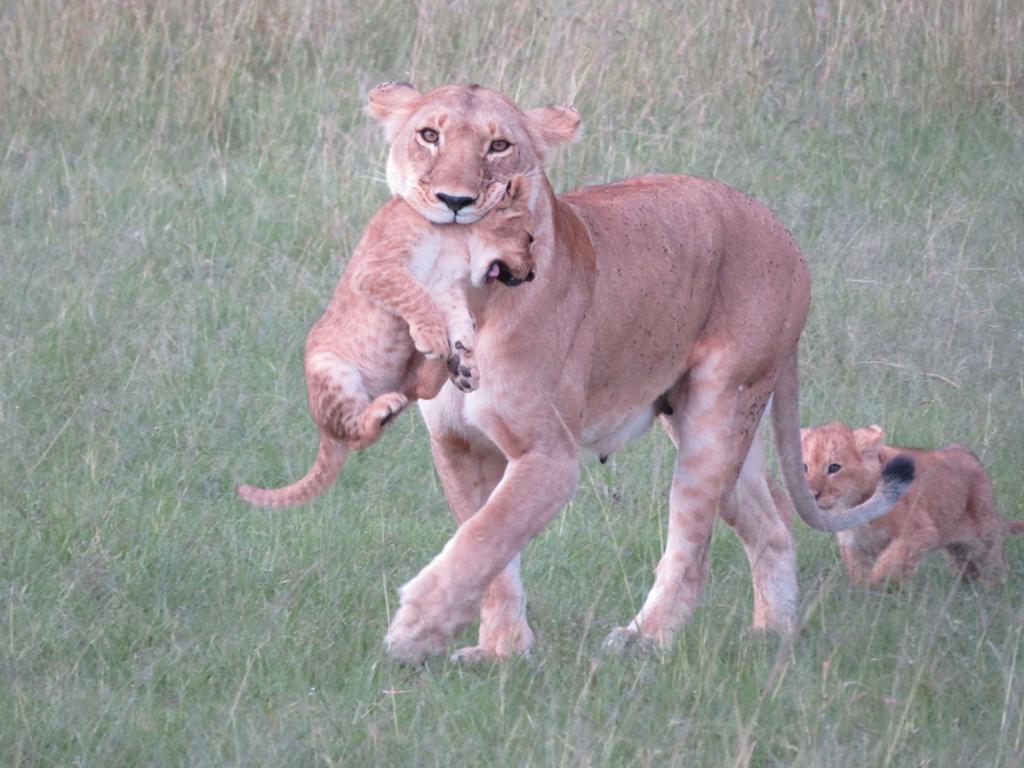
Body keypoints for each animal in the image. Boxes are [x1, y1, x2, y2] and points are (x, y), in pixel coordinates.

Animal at [236, 174, 536, 508]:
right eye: (529, 239)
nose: (533, 274)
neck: (458, 236)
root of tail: (324, 430)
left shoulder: (446, 286)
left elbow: (456, 318)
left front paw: (464, 357)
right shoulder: (376, 268)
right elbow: (416, 294)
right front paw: (436, 340)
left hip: (401, 380)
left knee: (419, 390)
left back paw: (451, 367)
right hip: (333, 371)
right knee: (356, 436)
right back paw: (386, 407)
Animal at [359, 81, 915, 663]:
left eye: (499, 146)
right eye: (429, 135)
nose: (455, 202)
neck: (472, 295)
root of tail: (782, 231)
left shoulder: (550, 457)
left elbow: (484, 538)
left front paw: (414, 631)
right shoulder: (458, 446)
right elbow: (491, 553)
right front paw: (502, 652)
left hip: (718, 413)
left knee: (693, 548)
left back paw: (644, 640)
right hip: (719, 426)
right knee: (774, 521)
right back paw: (773, 637)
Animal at [801, 422, 1022, 585]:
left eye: (834, 467)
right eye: (805, 467)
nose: (812, 495)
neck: (852, 505)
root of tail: (971, 457)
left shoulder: (920, 531)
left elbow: (889, 562)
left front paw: (877, 587)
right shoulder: (853, 543)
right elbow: (859, 572)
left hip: (984, 540)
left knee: (997, 565)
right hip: (958, 551)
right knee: (968, 570)